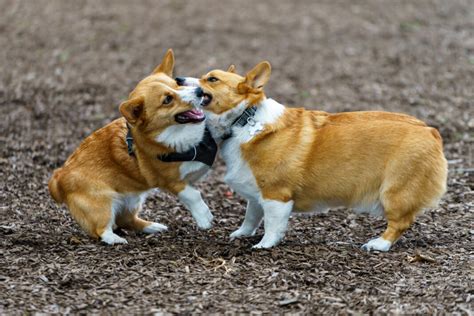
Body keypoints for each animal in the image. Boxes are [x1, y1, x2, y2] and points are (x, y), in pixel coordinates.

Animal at [47, 50, 215, 244]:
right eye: (167, 99)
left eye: (176, 84)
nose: (199, 91)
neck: (178, 134)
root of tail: (58, 177)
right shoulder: (170, 181)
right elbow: (192, 194)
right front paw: (204, 217)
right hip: (103, 203)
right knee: (101, 229)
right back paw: (116, 240)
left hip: (133, 199)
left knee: (126, 220)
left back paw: (152, 227)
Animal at [178, 61, 448, 249]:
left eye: (212, 79)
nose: (178, 78)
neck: (243, 120)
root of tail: (431, 131)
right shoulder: (256, 193)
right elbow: (251, 217)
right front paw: (241, 234)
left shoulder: (276, 195)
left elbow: (272, 225)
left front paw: (263, 246)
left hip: (394, 191)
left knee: (400, 222)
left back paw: (378, 244)